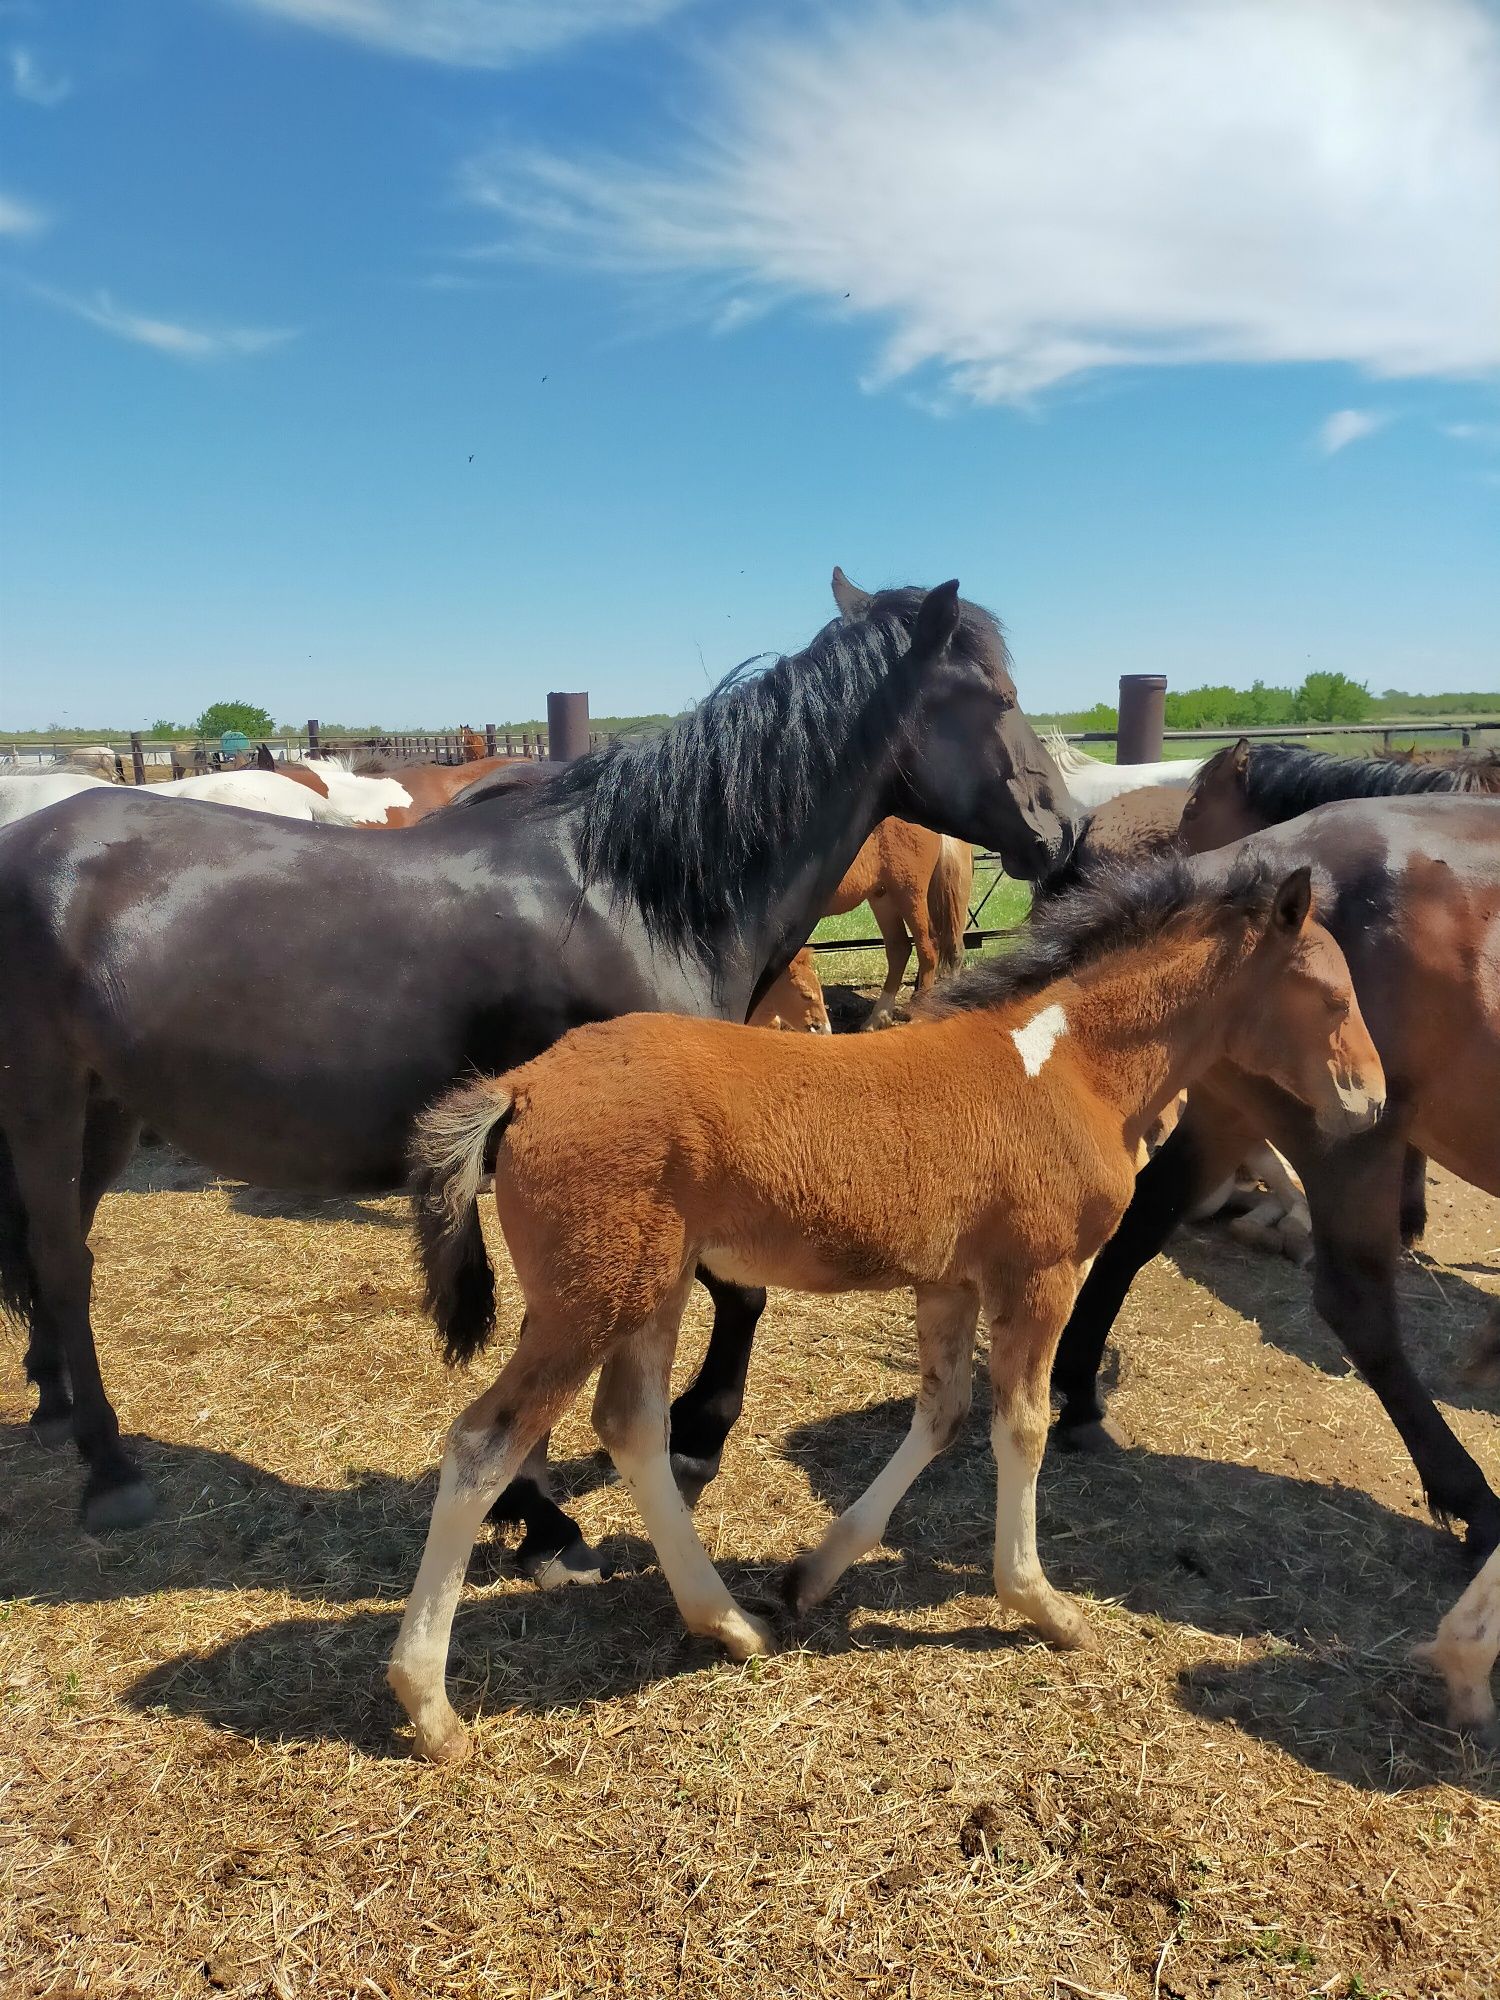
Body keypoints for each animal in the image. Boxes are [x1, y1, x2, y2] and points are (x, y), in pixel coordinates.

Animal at [0, 572, 1080, 1552]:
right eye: (998, 696)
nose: (1062, 827)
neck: (634, 896)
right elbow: (705, 1297)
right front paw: (658, 1450)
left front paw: (557, 1487)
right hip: (45, 1101)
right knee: (62, 1264)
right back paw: (109, 1469)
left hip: (107, 1110)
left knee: (57, 1252)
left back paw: (54, 1400)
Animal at [390, 852, 1384, 1760]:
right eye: (1332, 995)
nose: (1370, 1101)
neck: (1068, 1067)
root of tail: (520, 1088)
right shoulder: (1041, 1274)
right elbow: (1021, 1427)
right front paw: (1042, 1605)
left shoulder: (948, 1282)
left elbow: (942, 1415)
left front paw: (812, 1575)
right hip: (594, 1298)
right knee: (483, 1445)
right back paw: (430, 1705)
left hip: (650, 1289)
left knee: (631, 1427)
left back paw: (730, 1623)